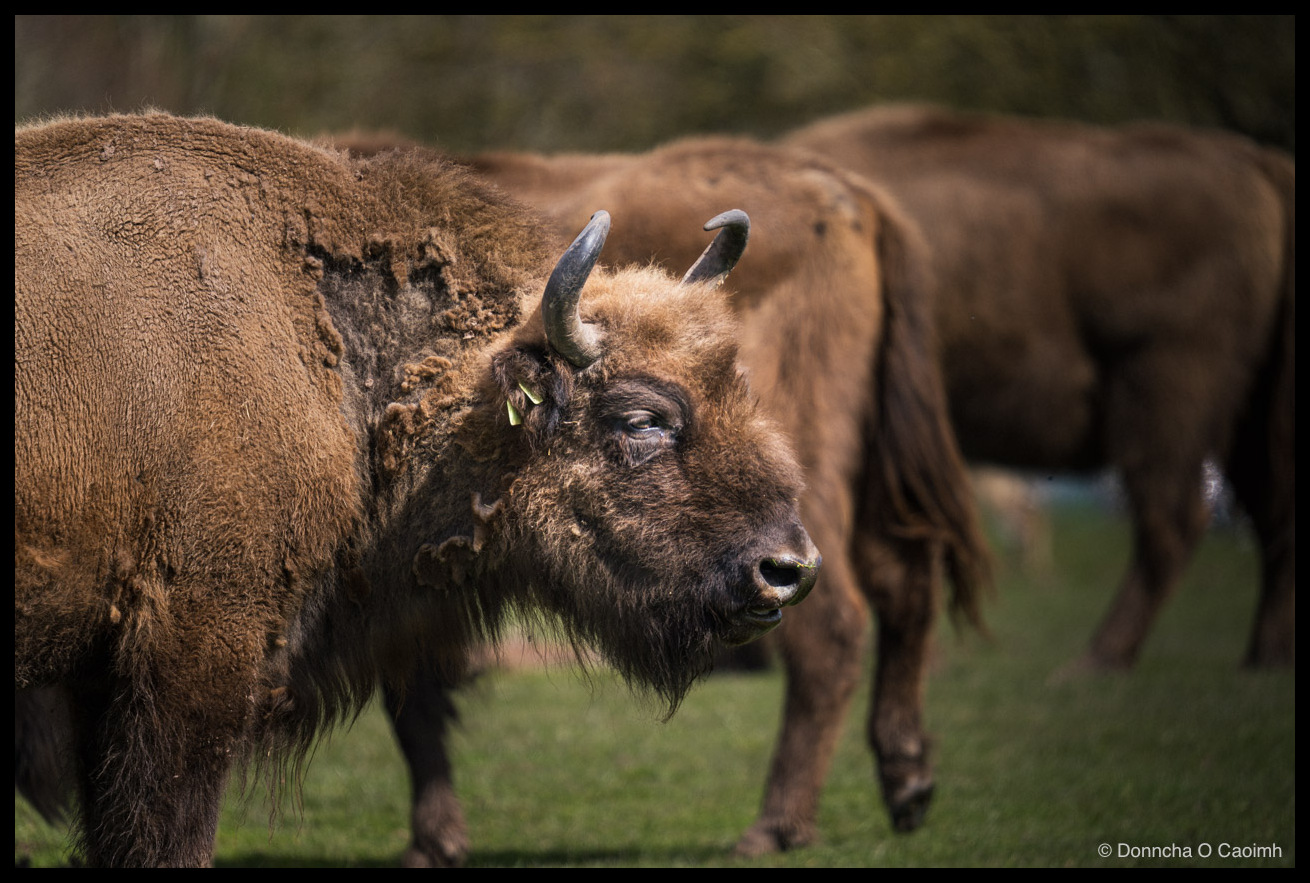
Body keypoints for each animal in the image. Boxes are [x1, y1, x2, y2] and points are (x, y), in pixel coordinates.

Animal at [786, 103, 1295, 671]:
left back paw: (1093, 663)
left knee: (1173, 520)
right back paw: (1265, 658)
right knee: (1273, 514)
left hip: (1166, 394)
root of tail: (1260, 164)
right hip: (1248, 416)